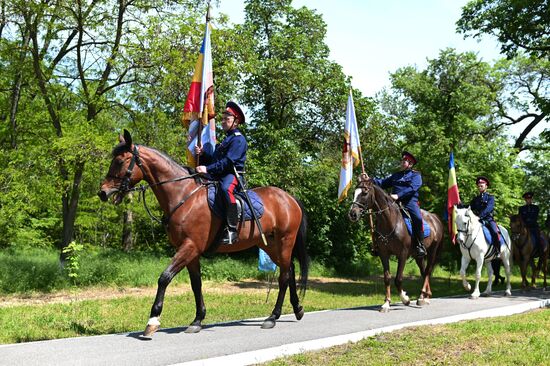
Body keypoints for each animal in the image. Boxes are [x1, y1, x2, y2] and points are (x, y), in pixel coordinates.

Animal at [97, 131, 308, 338]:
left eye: (121, 161)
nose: (103, 192)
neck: (184, 196)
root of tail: (289, 198)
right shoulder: (191, 251)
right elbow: (196, 284)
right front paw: (197, 320)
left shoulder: (190, 246)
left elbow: (164, 277)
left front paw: (153, 321)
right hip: (269, 245)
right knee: (289, 270)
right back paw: (297, 309)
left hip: (285, 241)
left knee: (283, 276)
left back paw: (273, 317)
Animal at [352, 177, 446, 312]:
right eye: (354, 193)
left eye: (364, 193)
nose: (352, 214)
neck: (390, 222)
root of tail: (435, 218)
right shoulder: (384, 254)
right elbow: (387, 278)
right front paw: (386, 303)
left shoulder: (403, 254)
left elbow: (398, 279)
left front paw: (405, 299)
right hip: (418, 256)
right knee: (424, 272)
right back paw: (424, 296)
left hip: (432, 252)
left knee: (428, 271)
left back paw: (423, 297)